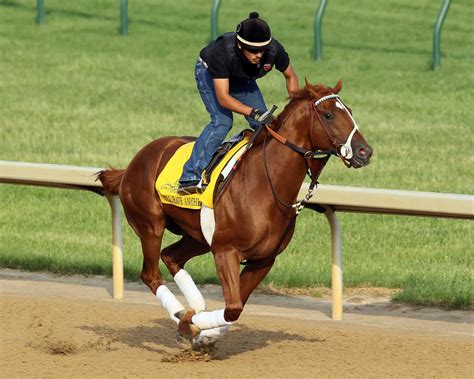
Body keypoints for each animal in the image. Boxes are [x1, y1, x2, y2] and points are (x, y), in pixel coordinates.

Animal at [98, 80, 374, 348]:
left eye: (349, 111)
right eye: (328, 115)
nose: (365, 151)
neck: (265, 185)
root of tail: (133, 163)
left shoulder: (262, 260)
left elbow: (236, 307)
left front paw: (204, 334)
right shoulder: (226, 251)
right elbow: (232, 308)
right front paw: (192, 325)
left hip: (199, 237)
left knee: (171, 256)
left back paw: (193, 308)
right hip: (151, 226)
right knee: (151, 274)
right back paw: (182, 313)